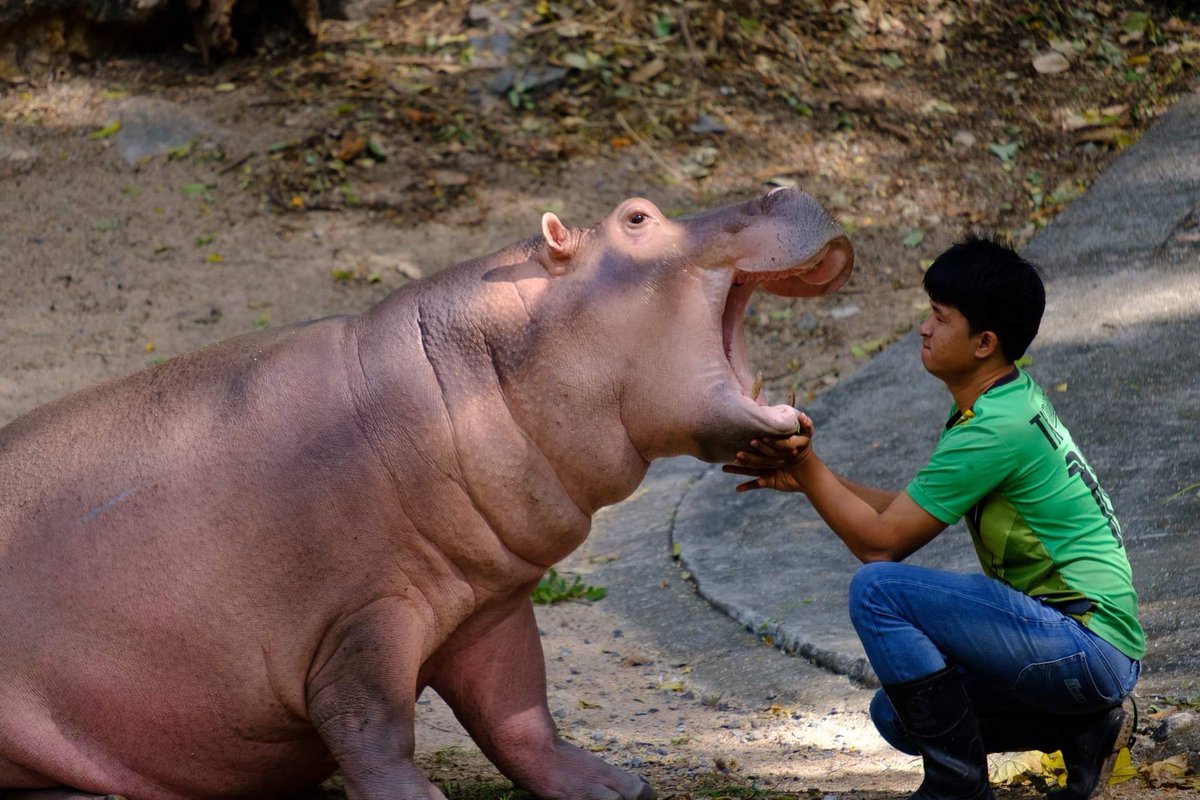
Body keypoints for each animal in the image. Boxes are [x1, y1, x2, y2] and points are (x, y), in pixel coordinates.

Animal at [0, 187, 852, 800]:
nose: (781, 184)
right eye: (636, 218)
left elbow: (522, 713)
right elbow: (372, 723)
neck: (462, 378)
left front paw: (613, 786)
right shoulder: (362, 619)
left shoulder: (490, 607)